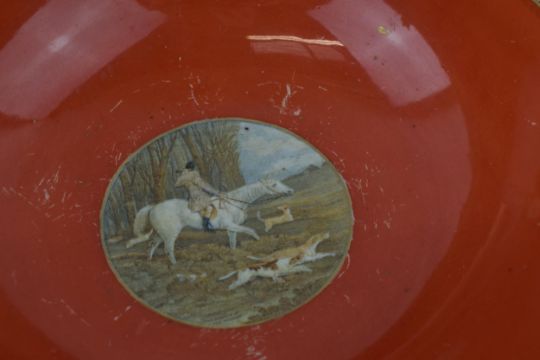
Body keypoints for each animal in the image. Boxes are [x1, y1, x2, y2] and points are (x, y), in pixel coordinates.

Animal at [124, 179, 294, 262]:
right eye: (274, 184)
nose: (290, 191)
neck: (233, 203)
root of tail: (153, 207)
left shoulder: (231, 228)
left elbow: (233, 243)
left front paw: (235, 256)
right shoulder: (231, 225)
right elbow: (251, 231)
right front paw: (261, 245)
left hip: (162, 234)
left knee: (152, 246)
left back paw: (150, 262)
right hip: (170, 234)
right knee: (169, 249)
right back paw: (177, 267)